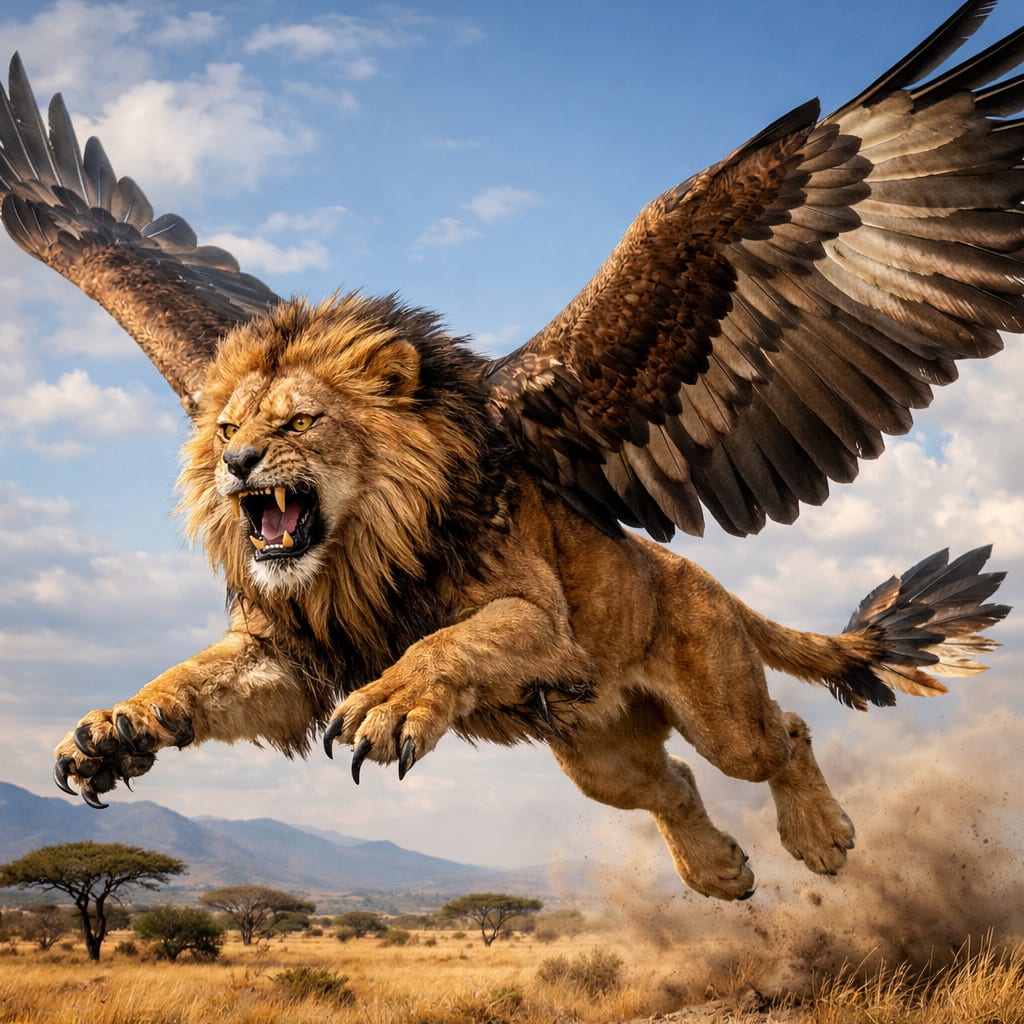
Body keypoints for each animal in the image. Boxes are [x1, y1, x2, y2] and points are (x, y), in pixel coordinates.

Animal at [1, 0, 1020, 898]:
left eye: (296, 424)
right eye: (223, 428)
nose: (235, 468)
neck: (363, 550)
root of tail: (703, 580)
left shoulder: (535, 620)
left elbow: (454, 639)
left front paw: (391, 706)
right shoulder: (292, 651)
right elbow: (197, 676)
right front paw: (114, 728)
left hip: (715, 700)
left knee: (784, 735)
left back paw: (820, 838)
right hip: (597, 750)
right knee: (672, 786)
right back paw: (720, 874)